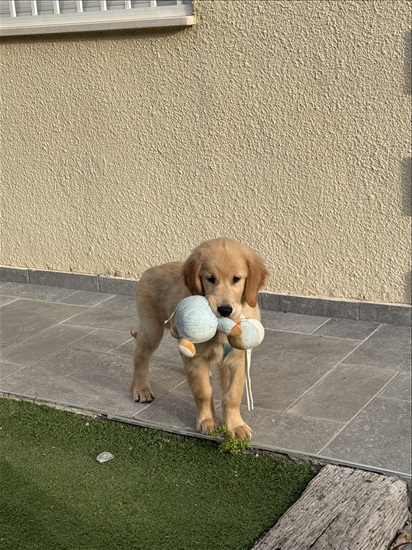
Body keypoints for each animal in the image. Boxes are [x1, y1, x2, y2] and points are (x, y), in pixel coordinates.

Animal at [130, 237, 268, 440]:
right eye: (210, 278)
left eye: (236, 279)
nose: (224, 310)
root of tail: (151, 269)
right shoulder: (195, 358)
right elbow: (203, 391)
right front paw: (208, 421)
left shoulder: (236, 359)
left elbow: (232, 395)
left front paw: (235, 425)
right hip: (151, 328)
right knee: (140, 355)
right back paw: (141, 389)